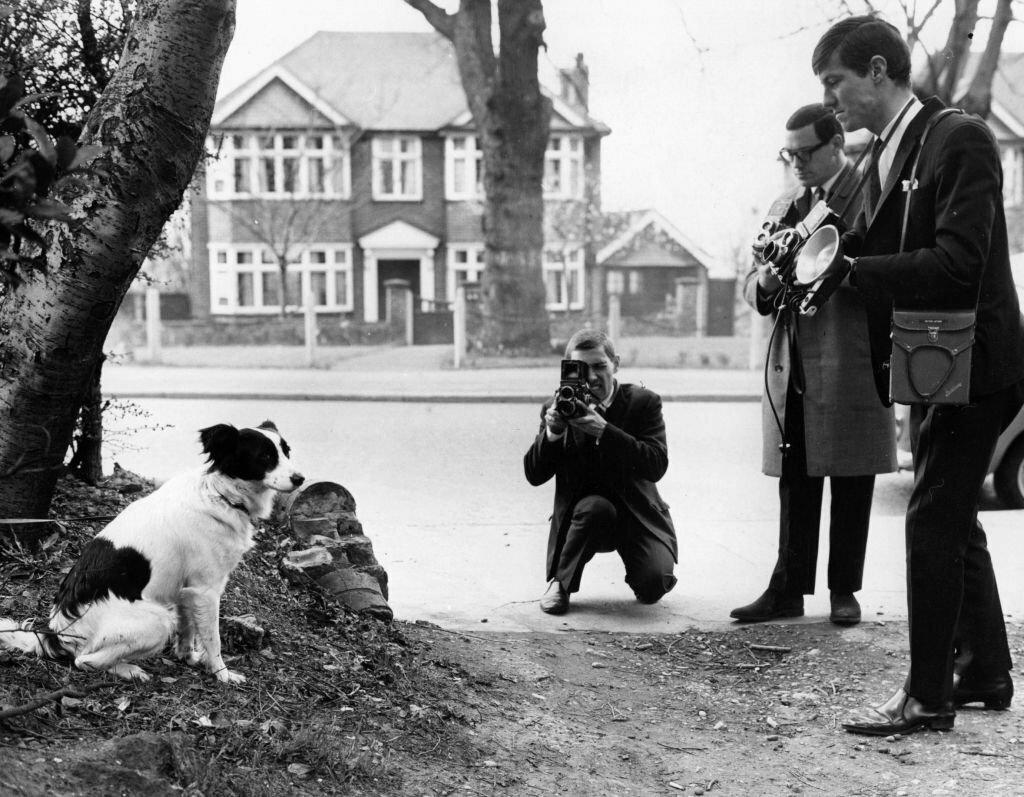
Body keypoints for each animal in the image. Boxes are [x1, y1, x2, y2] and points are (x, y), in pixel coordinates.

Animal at [1, 422, 303, 684]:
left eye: (287, 451)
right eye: (265, 456)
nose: (300, 479)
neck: (221, 495)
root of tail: (57, 634)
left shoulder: (186, 589)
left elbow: (188, 628)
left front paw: (187, 656)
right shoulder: (206, 590)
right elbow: (213, 639)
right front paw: (222, 674)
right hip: (157, 620)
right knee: (83, 661)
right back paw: (130, 670)